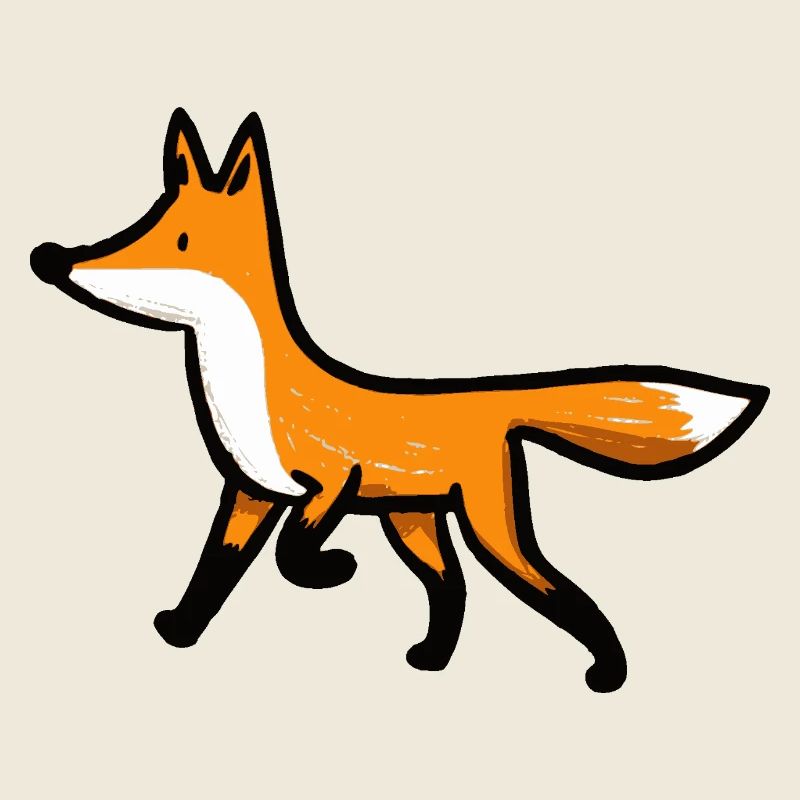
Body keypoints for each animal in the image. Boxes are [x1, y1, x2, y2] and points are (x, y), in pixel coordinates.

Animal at [30, 108, 768, 692]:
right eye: (143, 223)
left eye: (179, 240)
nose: (50, 259)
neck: (255, 388)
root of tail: (487, 398)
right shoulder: (251, 494)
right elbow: (215, 569)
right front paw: (180, 631)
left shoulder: (329, 486)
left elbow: (290, 556)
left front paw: (330, 570)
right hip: (413, 523)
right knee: (453, 588)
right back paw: (432, 659)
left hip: (489, 530)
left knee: (547, 588)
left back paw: (607, 672)